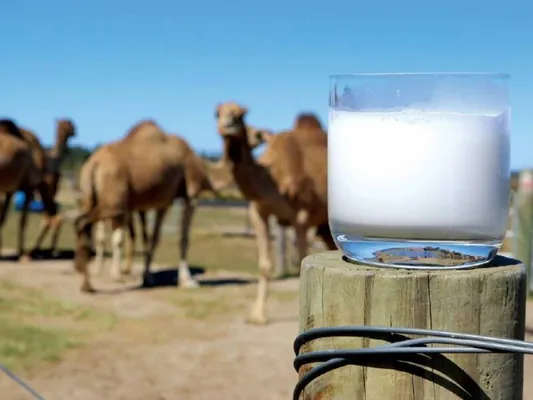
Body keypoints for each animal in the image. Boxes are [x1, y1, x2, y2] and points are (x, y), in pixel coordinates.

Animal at [0, 119, 59, 260]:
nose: (53, 251)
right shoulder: (27, 186)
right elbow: (20, 220)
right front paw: (23, 254)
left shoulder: (15, 188)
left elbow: (10, 219)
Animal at [215, 101, 334, 324]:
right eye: (216, 113)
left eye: (242, 114)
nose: (230, 123)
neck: (273, 180)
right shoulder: (258, 212)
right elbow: (264, 265)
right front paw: (258, 315)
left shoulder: (301, 217)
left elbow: (300, 263)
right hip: (324, 227)